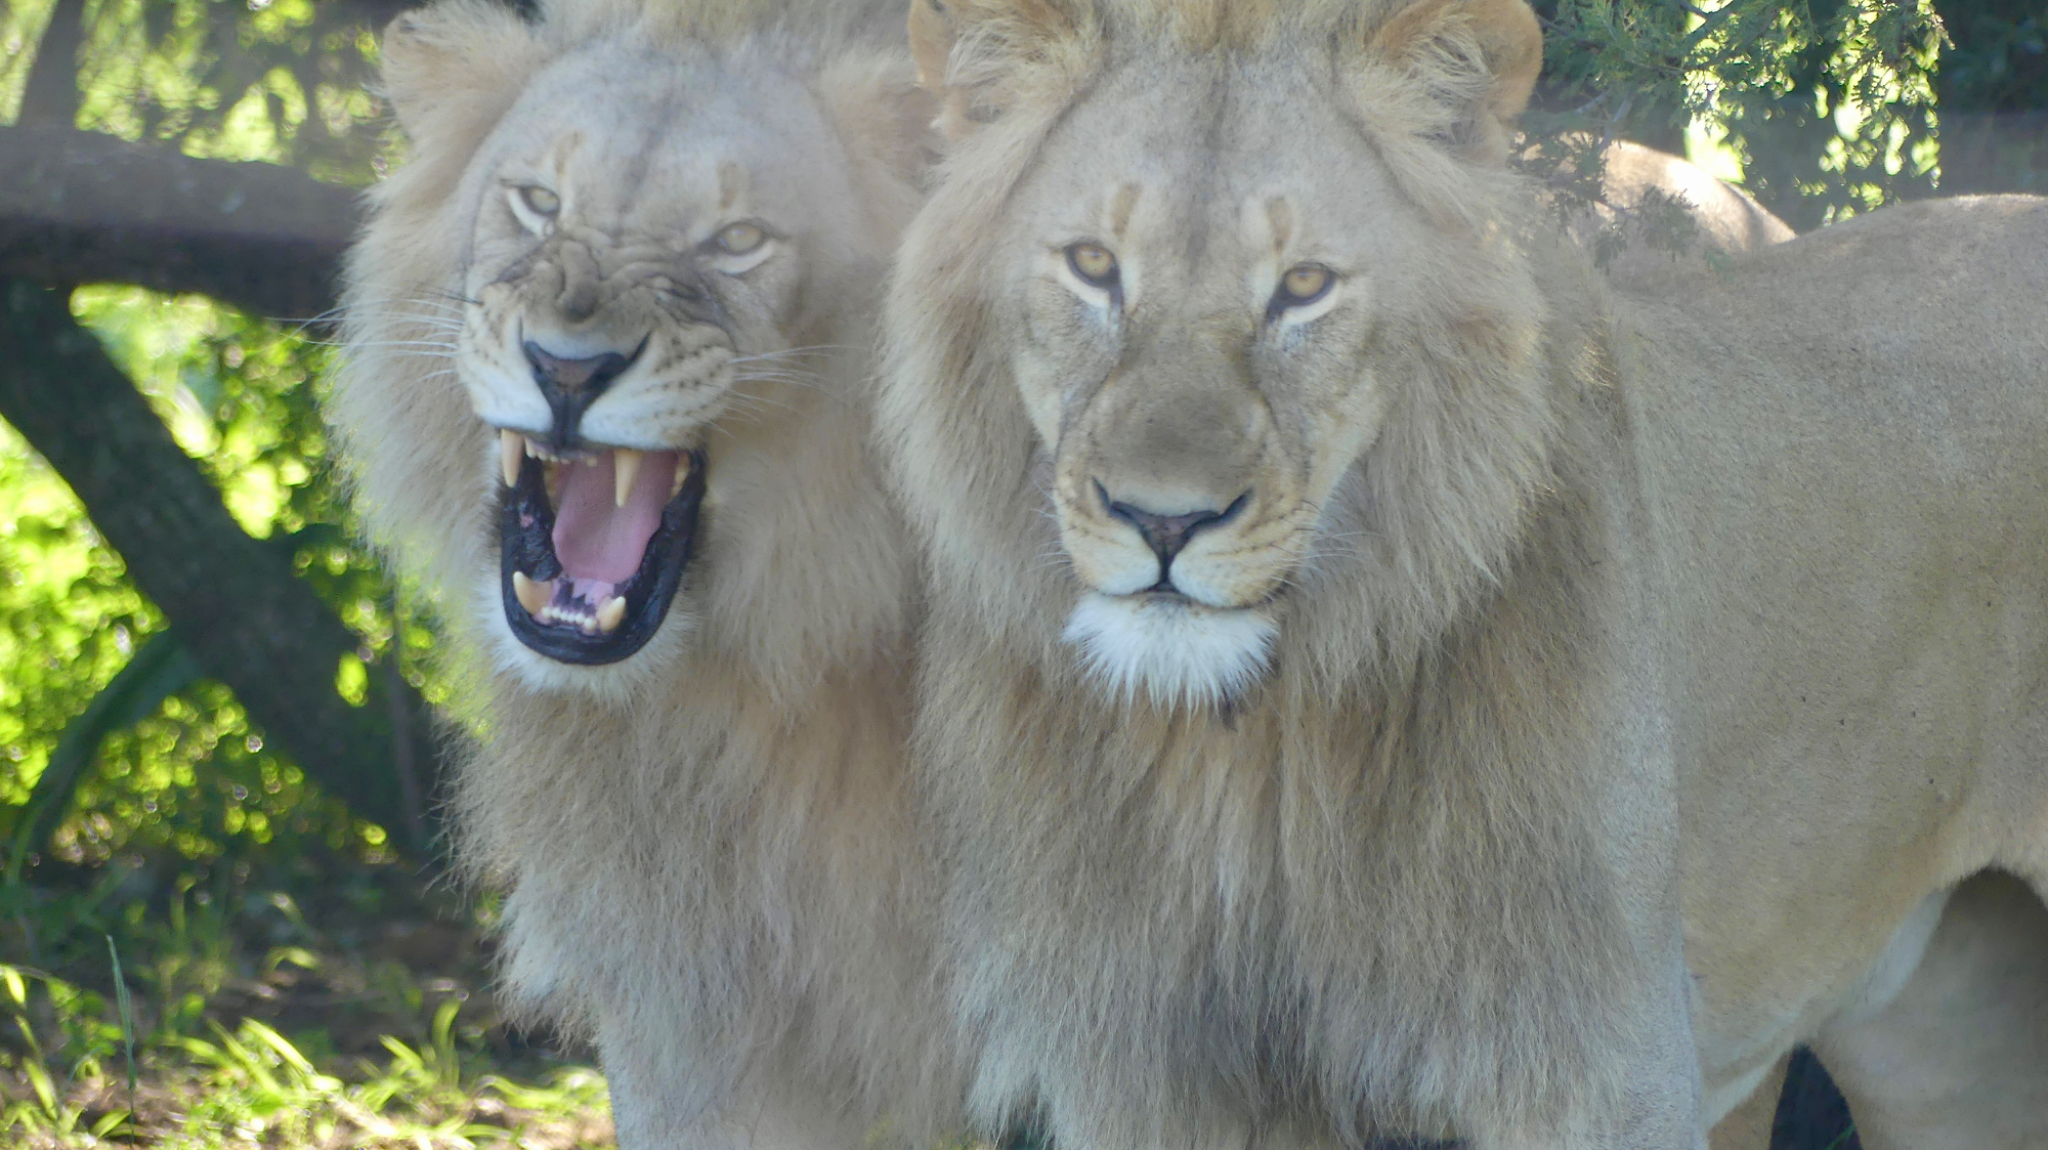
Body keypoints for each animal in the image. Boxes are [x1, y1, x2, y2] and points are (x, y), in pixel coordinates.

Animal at [881, 0, 2048, 1146]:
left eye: (1304, 286)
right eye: (1091, 265)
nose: (1163, 518)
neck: (1250, 757)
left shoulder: (1600, 1067)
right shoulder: (1152, 1080)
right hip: (1945, 1036)